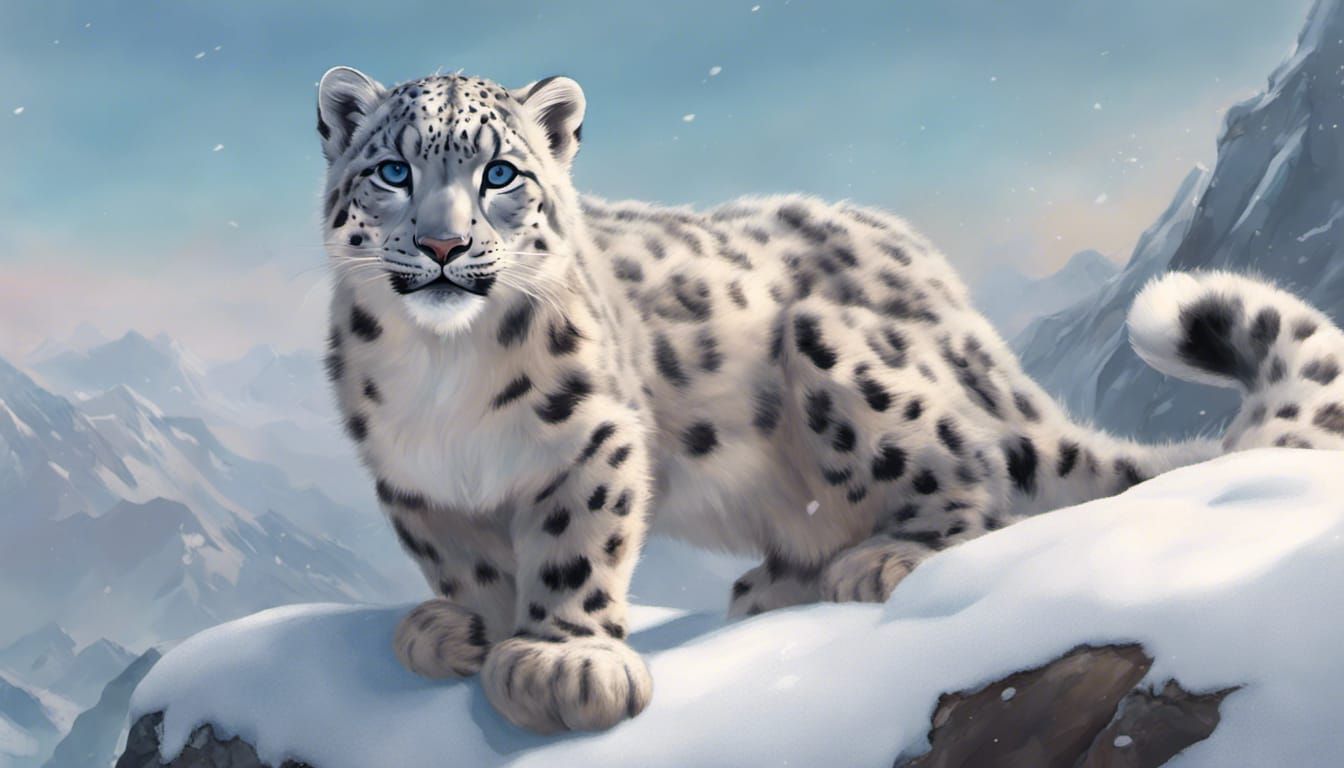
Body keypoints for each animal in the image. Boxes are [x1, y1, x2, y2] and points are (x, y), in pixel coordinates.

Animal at [314, 66, 1344, 734]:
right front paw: (465, 628)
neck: (441, 375)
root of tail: (962, 320)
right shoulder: (410, 480)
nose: (444, 246)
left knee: (980, 488)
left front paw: (564, 661)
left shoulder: (591, 437)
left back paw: (882, 561)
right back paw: (774, 586)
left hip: (842, 352)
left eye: (501, 174)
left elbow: (576, 544)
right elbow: (463, 563)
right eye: (393, 171)